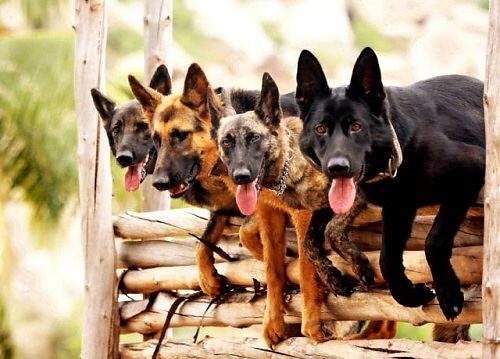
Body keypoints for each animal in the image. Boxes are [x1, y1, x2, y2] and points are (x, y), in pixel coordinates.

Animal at [210, 73, 394, 344]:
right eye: (227, 142)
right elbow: (273, 269)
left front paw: (312, 326)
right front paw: (274, 323)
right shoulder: (271, 215)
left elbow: (309, 260)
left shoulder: (310, 213)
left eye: (254, 138)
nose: (240, 176)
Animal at [296, 45, 484, 320]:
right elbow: (387, 259)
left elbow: (433, 240)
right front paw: (409, 294)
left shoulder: (469, 172)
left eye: (356, 126)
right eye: (320, 129)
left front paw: (448, 294)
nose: (337, 168)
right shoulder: (399, 207)